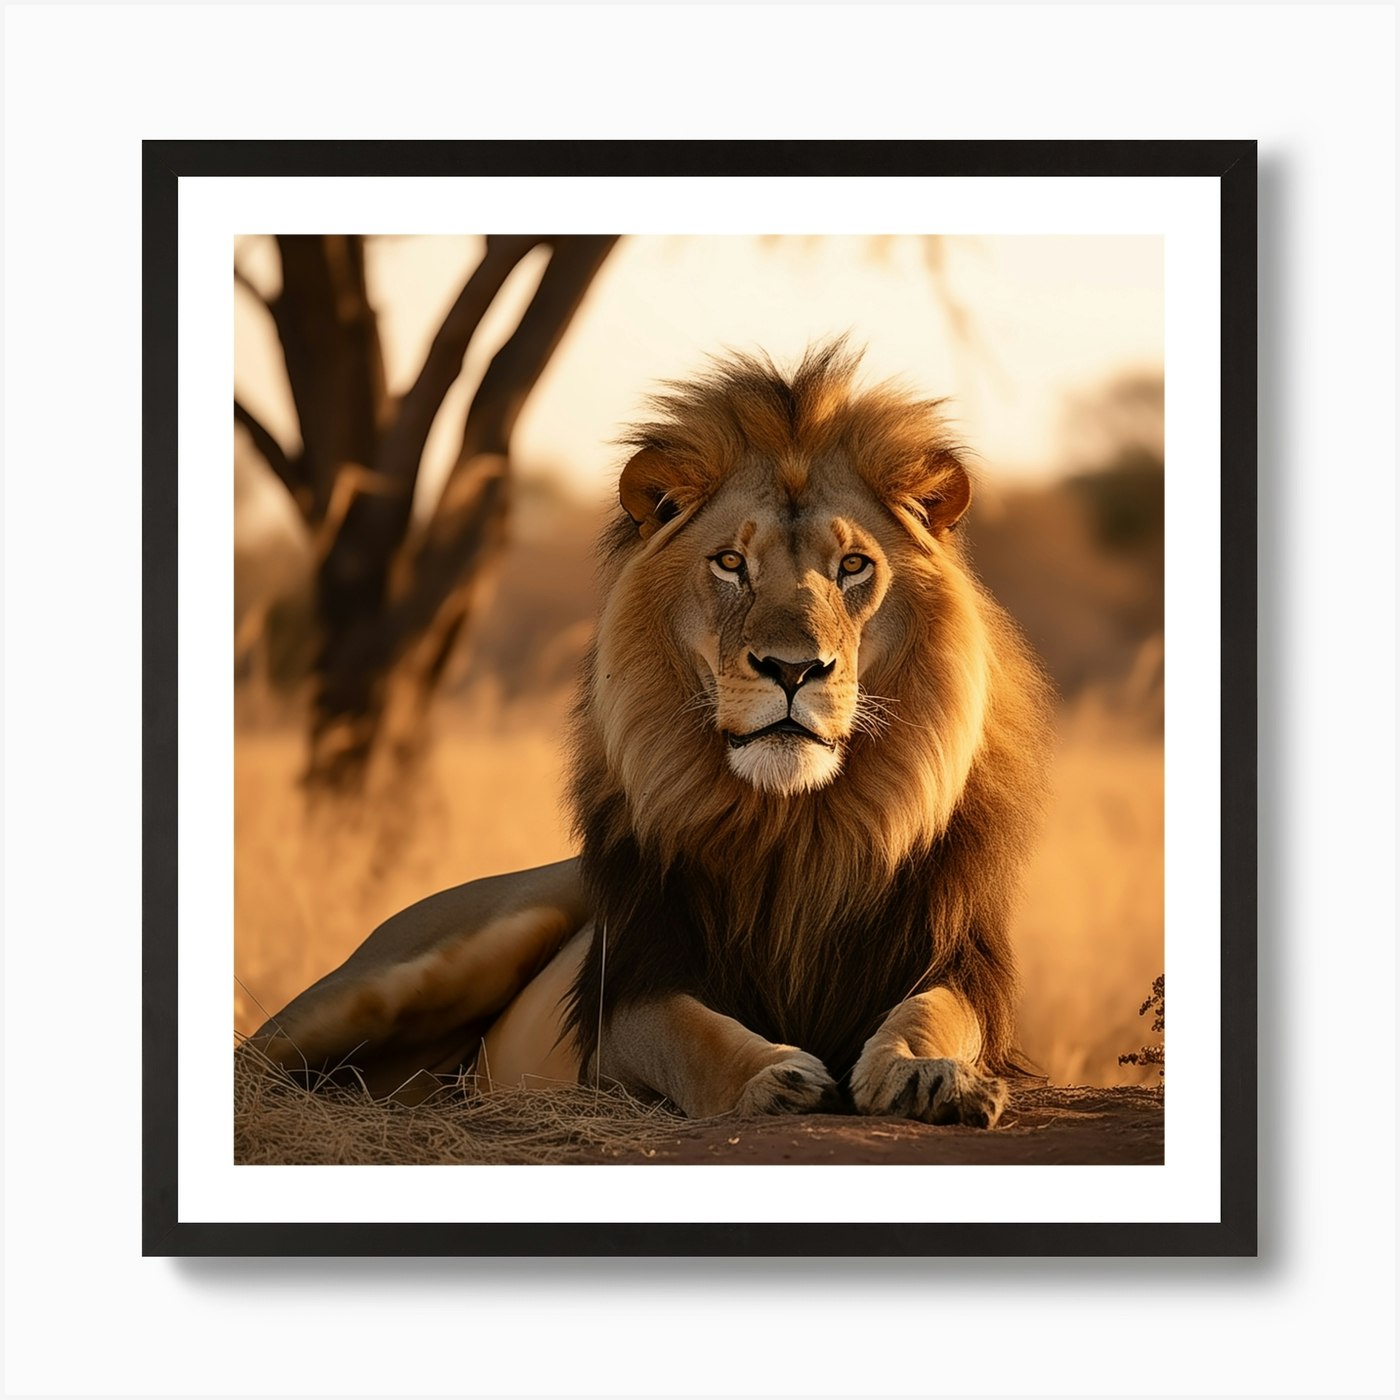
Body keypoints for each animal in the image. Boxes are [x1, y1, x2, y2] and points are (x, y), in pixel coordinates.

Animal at [249, 343, 1053, 1129]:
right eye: (731, 563)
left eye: (853, 566)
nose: (793, 668)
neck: (796, 828)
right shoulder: (628, 994)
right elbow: (692, 1035)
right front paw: (773, 1077)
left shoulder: (960, 965)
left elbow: (931, 1014)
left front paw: (925, 1074)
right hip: (418, 967)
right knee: (258, 1055)